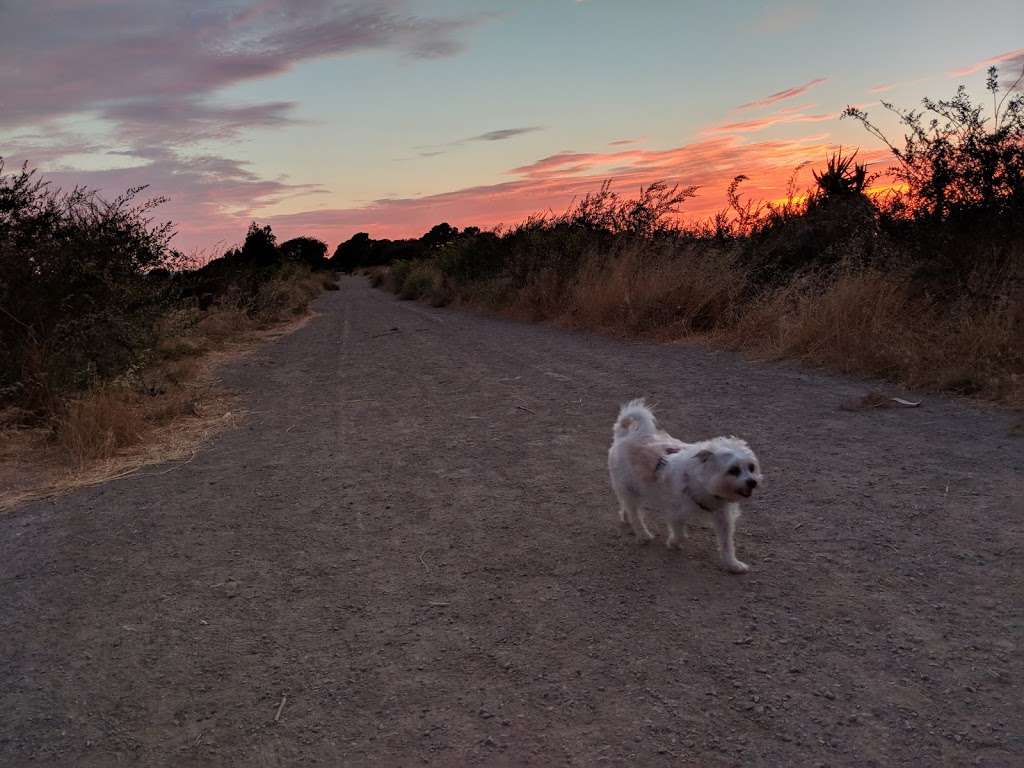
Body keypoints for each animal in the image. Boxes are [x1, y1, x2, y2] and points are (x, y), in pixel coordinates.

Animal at [606, 403, 761, 573]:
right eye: (733, 470)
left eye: (751, 467)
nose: (752, 482)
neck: (703, 484)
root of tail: (623, 436)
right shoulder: (676, 512)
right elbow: (681, 534)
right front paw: (673, 543)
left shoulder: (723, 517)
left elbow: (727, 543)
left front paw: (732, 564)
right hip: (630, 490)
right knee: (635, 514)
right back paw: (643, 534)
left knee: (626, 506)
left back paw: (626, 517)